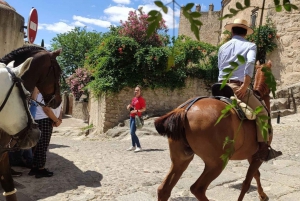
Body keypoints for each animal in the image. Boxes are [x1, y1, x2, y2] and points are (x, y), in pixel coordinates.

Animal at [155, 61, 274, 201]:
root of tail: (185, 110)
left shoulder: (251, 155)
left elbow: (256, 175)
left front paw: (262, 195)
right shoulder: (257, 155)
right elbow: (247, 182)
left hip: (181, 160)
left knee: (164, 190)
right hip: (216, 163)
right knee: (197, 189)